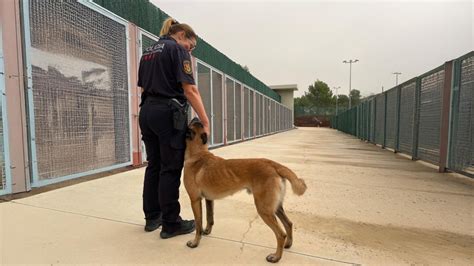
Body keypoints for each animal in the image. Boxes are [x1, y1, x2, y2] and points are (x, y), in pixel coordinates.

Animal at [181, 118, 308, 262]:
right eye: (197, 122)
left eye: (194, 123)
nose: (196, 118)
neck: (198, 153)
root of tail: (274, 165)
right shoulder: (209, 199)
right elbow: (210, 218)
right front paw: (206, 231)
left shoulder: (195, 200)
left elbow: (198, 223)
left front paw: (195, 242)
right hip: (275, 207)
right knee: (289, 224)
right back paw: (288, 245)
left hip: (264, 209)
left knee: (280, 234)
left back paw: (276, 257)